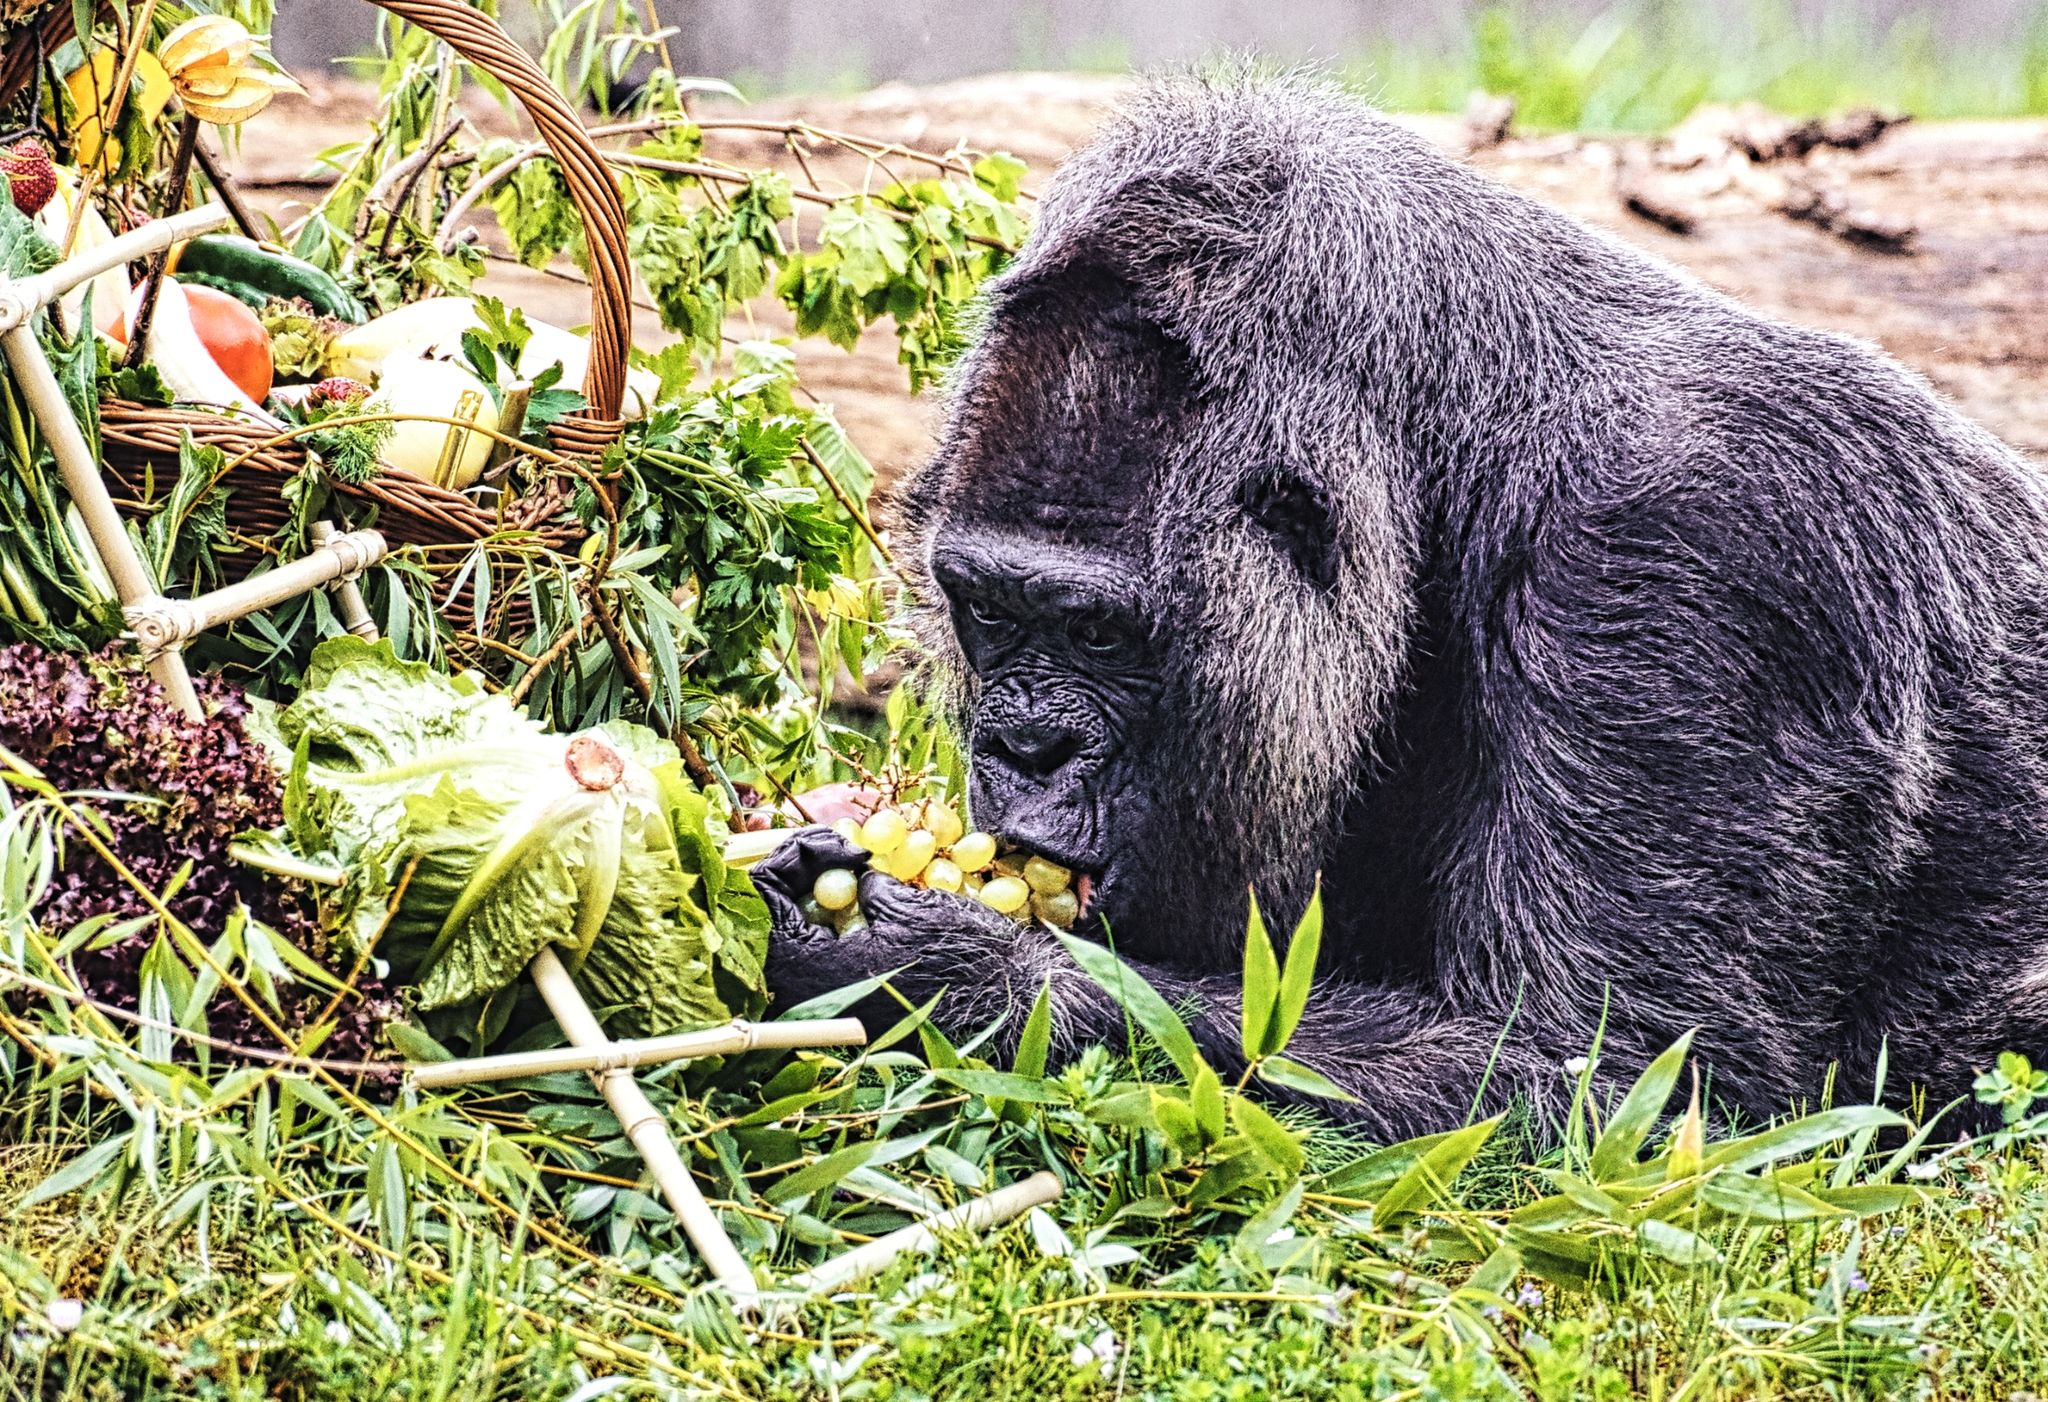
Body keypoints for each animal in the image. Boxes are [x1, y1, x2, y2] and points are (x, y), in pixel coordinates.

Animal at [754, 71, 2048, 1143]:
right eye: (986, 611)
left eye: (1094, 631)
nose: (1024, 747)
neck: (1462, 445)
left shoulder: (1700, 547)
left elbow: (1626, 1088)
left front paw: (942, 969)